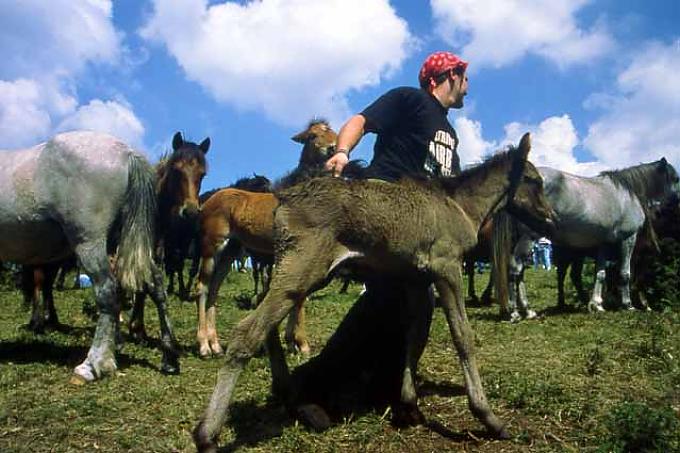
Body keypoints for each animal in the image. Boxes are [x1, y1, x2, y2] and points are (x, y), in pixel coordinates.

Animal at [0, 131, 177, 381]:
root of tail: (126, 153)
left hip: (89, 243)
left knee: (108, 292)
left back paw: (93, 364)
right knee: (156, 285)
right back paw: (169, 357)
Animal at [194, 119, 340, 358]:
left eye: (333, 133)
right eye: (312, 136)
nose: (332, 148)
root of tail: (206, 202)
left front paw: (291, 342)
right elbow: (299, 295)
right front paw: (302, 344)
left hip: (231, 250)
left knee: (214, 287)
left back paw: (216, 345)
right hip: (212, 244)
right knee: (202, 287)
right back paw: (204, 346)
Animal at [492, 159, 680, 317]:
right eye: (676, 178)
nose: (677, 201)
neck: (628, 194)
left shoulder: (604, 243)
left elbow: (601, 273)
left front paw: (596, 304)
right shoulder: (628, 238)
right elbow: (625, 273)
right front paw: (628, 305)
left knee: (521, 272)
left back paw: (528, 310)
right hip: (529, 237)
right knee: (515, 269)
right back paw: (515, 312)